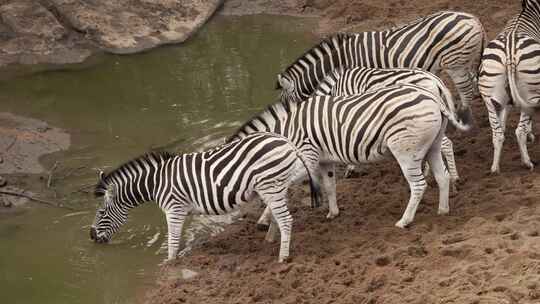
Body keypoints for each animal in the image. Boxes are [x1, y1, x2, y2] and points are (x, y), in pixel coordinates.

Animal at [90, 133, 322, 264]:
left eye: (101, 212)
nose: (91, 237)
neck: (156, 182)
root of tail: (286, 141)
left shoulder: (174, 209)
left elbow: (172, 240)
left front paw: (169, 263)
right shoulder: (181, 211)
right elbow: (179, 238)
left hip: (270, 185)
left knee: (286, 220)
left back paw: (283, 257)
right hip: (275, 187)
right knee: (278, 216)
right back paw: (270, 240)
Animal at [228, 83, 468, 228]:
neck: (287, 132)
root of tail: (432, 97)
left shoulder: (306, 158)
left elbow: (282, 189)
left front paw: (263, 218)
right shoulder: (324, 160)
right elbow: (330, 186)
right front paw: (333, 212)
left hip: (405, 150)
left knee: (418, 185)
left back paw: (405, 221)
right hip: (432, 146)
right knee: (442, 176)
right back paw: (443, 210)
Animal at [276, 11, 484, 114]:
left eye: (287, 102)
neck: (341, 58)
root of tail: (475, 19)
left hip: (455, 63)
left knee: (465, 90)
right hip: (465, 59)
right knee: (471, 82)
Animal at [478, 0, 540, 172]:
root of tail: (509, 53)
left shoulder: (505, 99)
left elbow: (503, 121)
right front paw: (531, 134)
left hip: (489, 96)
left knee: (497, 133)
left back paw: (495, 167)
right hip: (531, 94)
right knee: (519, 131)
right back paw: (527, 162)